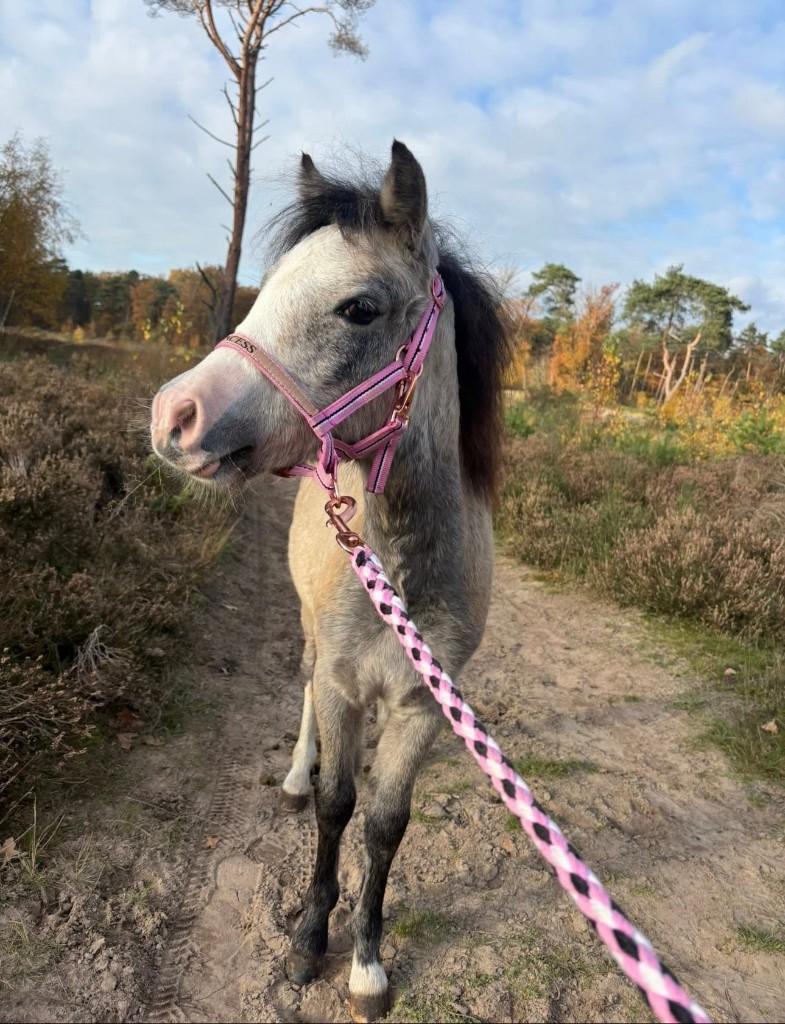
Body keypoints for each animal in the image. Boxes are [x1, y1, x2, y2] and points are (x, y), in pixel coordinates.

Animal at [150, 140, 509, 1022]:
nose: (174, 417)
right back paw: (291, 773)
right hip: (314, 643)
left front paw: (368, 964)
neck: (401, 564)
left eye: (358, 310)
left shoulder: (422, 704)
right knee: (306, 690)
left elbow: (384, 823)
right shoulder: (347, 687)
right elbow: (335, 806)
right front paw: (311, 940)